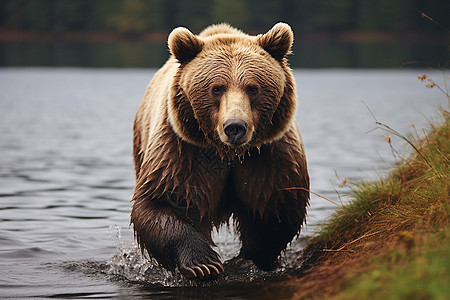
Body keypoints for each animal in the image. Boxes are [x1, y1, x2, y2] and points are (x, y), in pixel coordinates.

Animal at [131, 22, 310, 280]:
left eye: (253, 88)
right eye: (216, 88)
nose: (235, 126)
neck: (229, 154)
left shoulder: (269, 156)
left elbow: (275, 209)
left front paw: (247, 261)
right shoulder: (183, 151)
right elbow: (161, 202)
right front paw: (203, 263)